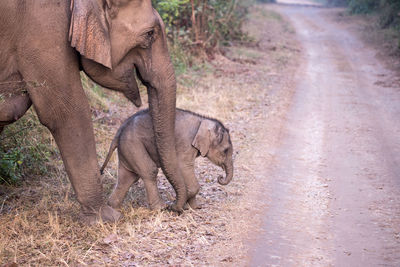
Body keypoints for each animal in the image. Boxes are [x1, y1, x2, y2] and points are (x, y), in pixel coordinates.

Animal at [0, 0, 188, 224]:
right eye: (150, 34)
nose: (173, 207)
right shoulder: (42, 30)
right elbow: (67, 112)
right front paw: (107, 218)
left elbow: (9, 109)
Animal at [101, 108, 234, 210]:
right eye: (226, 150)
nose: (220, 178)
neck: (203, 120)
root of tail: (119, 131)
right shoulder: (186, 143)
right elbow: (184, 166)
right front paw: (184, 206)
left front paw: (195, 207)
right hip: (134, 145)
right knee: (149, 171)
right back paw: (161, 208)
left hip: (127, 149)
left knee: (128, 177)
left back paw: (114, 207)